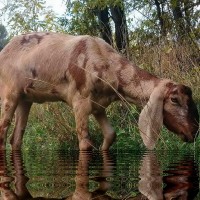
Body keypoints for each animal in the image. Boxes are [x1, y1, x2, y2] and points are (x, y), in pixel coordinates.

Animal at [0, 31, 198, 150]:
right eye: (174, 99)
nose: (193, 132)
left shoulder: (99, 106)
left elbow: (110, 135)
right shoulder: (79, 101)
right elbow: (85, 143)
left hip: (25, 99)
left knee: (15, 138)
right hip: (10, 93)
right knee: (3, 131)